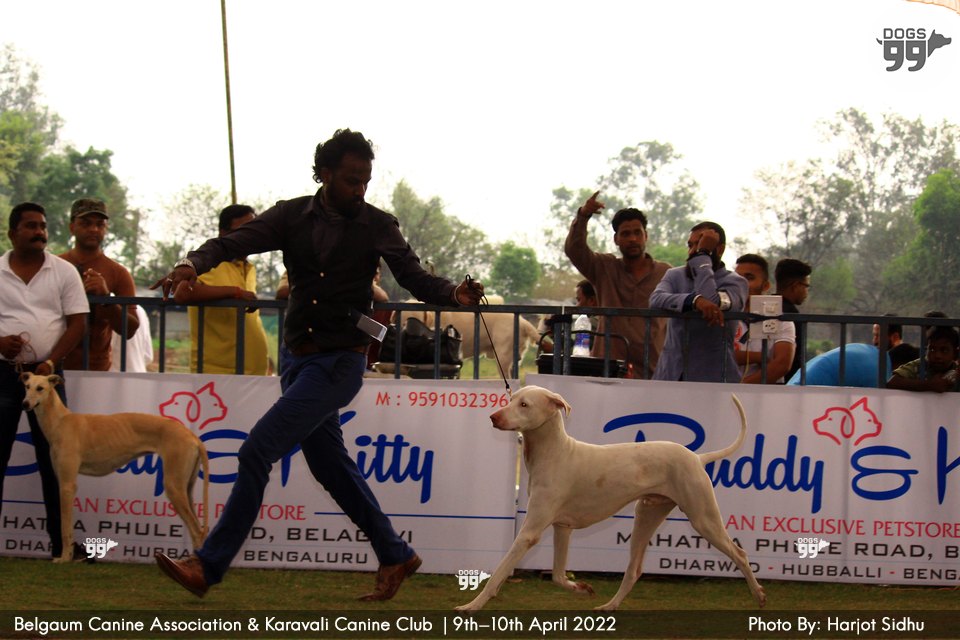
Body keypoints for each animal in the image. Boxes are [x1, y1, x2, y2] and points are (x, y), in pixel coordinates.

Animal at [20, 373, 210, 562]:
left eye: (40, 388)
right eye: (27, 386)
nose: (25, 404)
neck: (61, 421)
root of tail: (192, 436)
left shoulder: (67, 485)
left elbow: (65, 526)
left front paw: (65, 558)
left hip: (173, 486)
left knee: (196, 530)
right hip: (186, 488)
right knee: (199, 529)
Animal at [456, 385, 766, 611]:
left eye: (524, 405)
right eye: (511, 399)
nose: (494, 417)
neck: (556, 453)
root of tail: (697, 458)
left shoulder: (529, 533)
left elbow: (499, 572)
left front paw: (472, 606)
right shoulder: (562, 528)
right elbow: (558, 575)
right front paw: (581, 588)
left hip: (703, 519)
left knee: (740, 553)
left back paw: (759, 595)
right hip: (646, 515)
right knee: (634, 570)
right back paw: (609, 606)